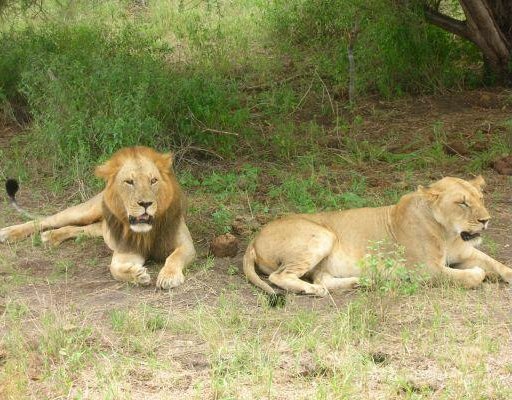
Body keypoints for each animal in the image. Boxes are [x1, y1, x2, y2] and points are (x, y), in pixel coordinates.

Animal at [0, 146, 196, 288]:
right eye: (129, 182)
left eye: (153, 180)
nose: (145, 203)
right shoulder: (126, 250)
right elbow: (114, 268)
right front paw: (137, 274)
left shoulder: (186, 245)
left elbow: (174, 257)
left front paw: (168, 277)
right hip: (84, 211)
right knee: (46, 220)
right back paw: (9, 232)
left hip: (98, 227)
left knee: (78, 229)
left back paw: (51, 236)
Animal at [244, 177, 512, 296]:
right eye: (462, 203)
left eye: (481, 198)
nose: (486, 220)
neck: (449, 234)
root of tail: (255, 238)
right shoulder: (426, 270)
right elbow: (473, 276)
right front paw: (480, 274)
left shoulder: (467, 251)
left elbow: (498, 265)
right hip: (322, 235)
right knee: (281, 277)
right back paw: (314, 290)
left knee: (323, 278)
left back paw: (365, 281)